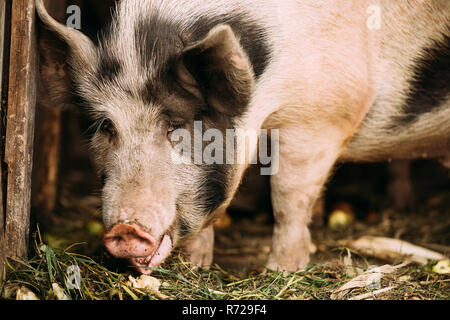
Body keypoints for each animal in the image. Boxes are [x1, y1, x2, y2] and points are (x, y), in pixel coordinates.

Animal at [37, 0, 448, 274]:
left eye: (176, 126)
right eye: (107, 127)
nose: (125, 228)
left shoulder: (321, 116)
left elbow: (288, 199)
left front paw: (282, 270)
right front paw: (196, 267)